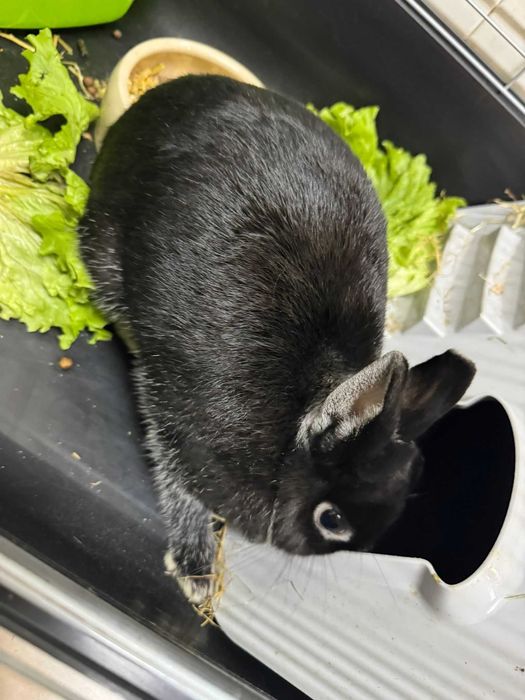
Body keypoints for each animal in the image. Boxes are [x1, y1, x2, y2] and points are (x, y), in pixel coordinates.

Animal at [79, 75, 475, 604]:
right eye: (332, 520)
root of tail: (161, 100)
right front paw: (196, 573)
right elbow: (179, 488)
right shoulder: (181, 432)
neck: (293, 435)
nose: (300, 551)